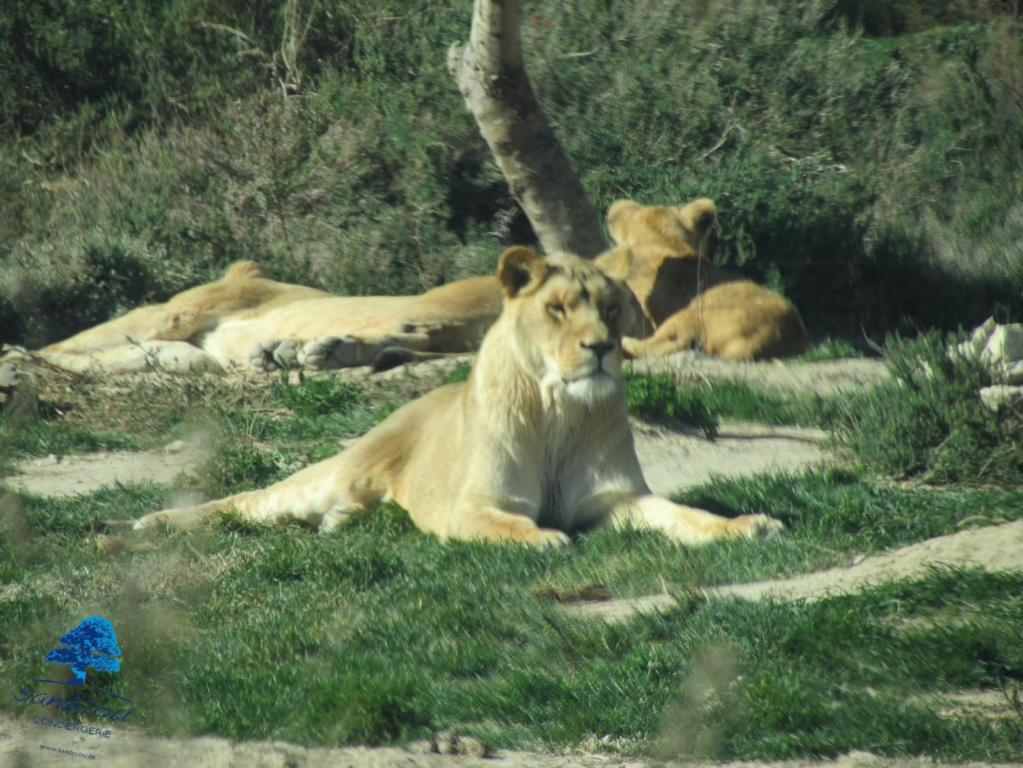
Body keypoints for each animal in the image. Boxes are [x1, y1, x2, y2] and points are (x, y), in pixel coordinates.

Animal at [125, 247, 781, 548]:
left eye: (611, 308)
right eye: (558, 309)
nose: (600, 347)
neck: (559, 412)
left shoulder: (616, 501)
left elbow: (686, 515)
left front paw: (746, 525)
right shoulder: (474, 506)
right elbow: (512, 525)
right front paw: (545, 537)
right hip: (332, 473)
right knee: (247, 501)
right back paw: (150, 522)